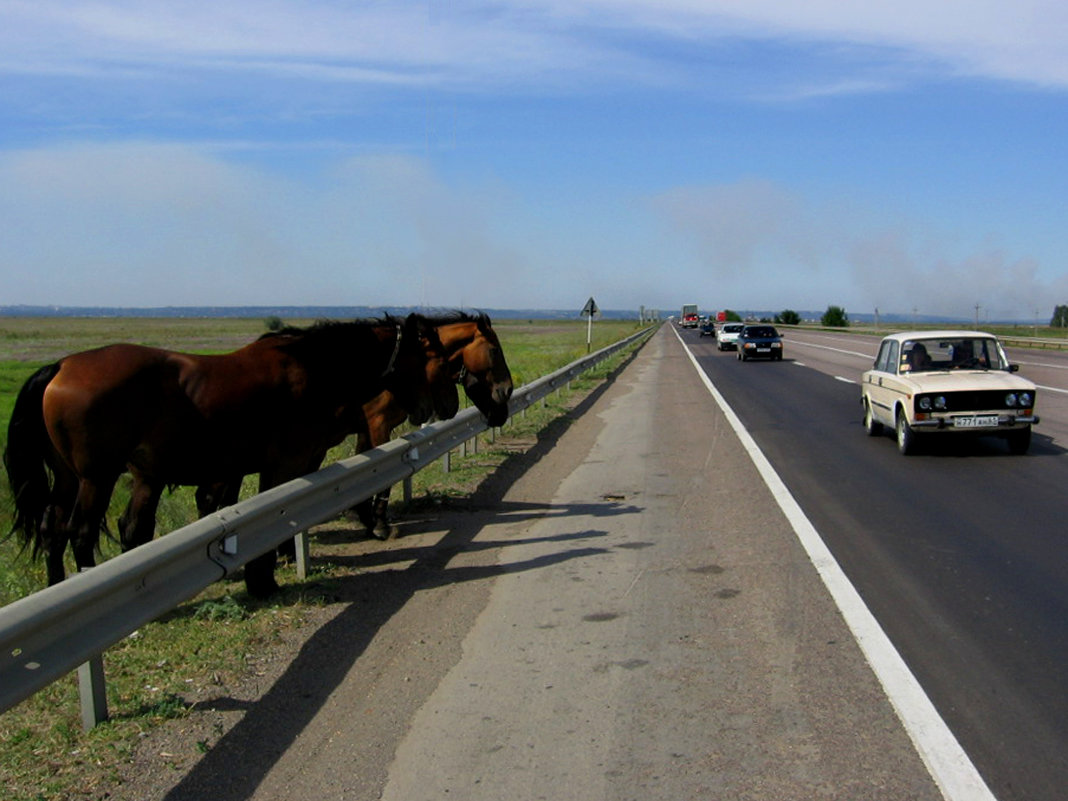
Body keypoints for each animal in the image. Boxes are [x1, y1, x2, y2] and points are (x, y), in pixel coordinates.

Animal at [4, 313, 457, 598]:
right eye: (435, 359)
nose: (445, 406)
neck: (312, 370)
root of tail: (61, 366)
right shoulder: (285, 464)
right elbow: (274, 521)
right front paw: (263, 580)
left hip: (71, 477)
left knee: (55, 529)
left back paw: (57, 587)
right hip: (98, 477)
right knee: (81, 533)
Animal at [194, 311, 514, 540]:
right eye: (494, 350)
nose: (507, 391)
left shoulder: (365, 429)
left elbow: (368, 469)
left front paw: (361, 515)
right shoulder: (378, 424)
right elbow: (383, 476)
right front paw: (378, 523)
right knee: (209, 495)